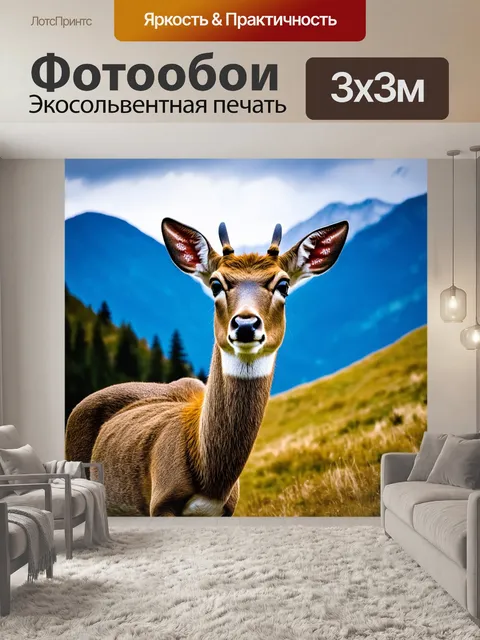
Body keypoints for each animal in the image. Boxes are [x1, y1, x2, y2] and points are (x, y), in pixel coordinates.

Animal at [65, 217, 349, 516]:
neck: (210, 479)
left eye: (283, 284)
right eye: (215, 284)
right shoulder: (160, 502)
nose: (245, 324)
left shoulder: (229, 509)